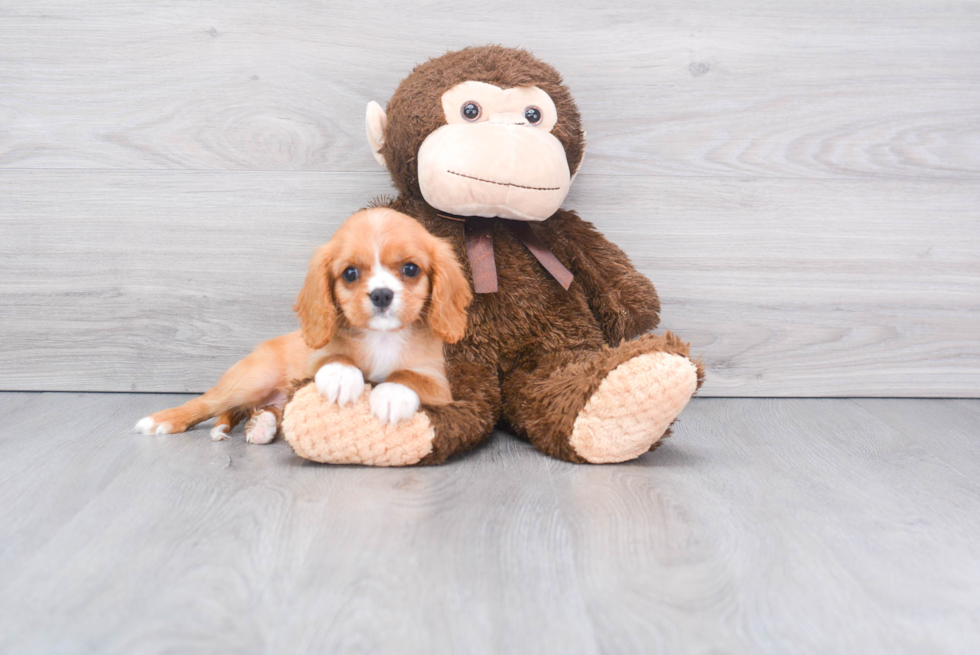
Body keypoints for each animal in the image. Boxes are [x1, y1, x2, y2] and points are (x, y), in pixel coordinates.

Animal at [136, 209, 472, 446]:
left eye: (410, 269)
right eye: (350, 273)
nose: (381, 294)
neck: (381, 339)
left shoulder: (438, 383)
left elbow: (407, 375)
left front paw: (391, 394)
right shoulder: (313, 363)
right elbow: (334, 357)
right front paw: (341, 376)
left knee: (269, 410)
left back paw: (263, 425)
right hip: (252, 380)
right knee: (207, 402)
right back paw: (162, 420)